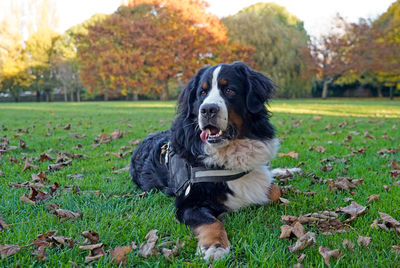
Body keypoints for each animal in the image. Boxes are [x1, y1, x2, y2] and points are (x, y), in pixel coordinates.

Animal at [130, 61, 282, 260]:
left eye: (229, 90)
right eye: (202, 93)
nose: (208, 109)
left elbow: (275, 190)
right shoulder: (188, 202)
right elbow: (211, 222)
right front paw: (215, 246)